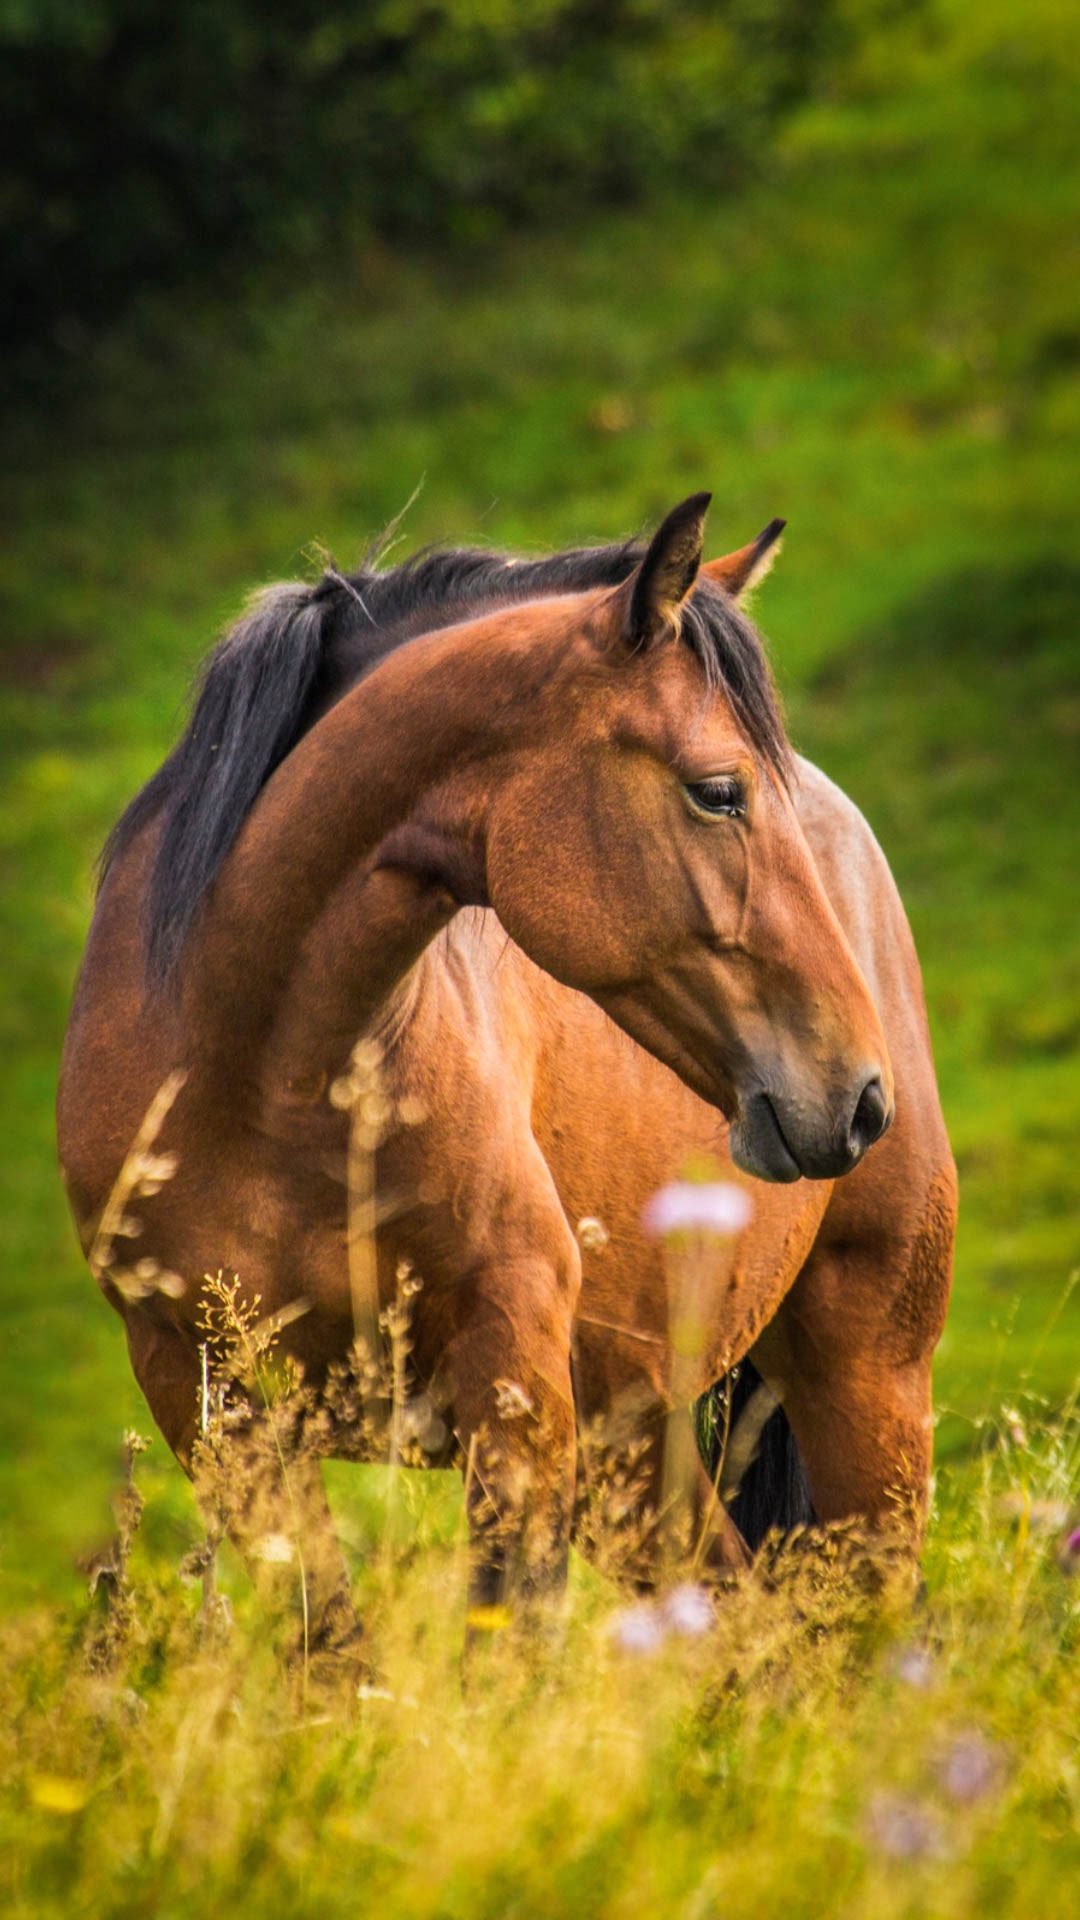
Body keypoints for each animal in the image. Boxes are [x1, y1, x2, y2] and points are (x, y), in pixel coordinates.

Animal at [57, 493, 956, 1652]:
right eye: (718, 792)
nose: (857, 1095)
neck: (255, 1081)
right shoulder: (211, 1401)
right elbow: (332, 1653)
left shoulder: (513, 1375)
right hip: (640, 1442)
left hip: (865, 1385)